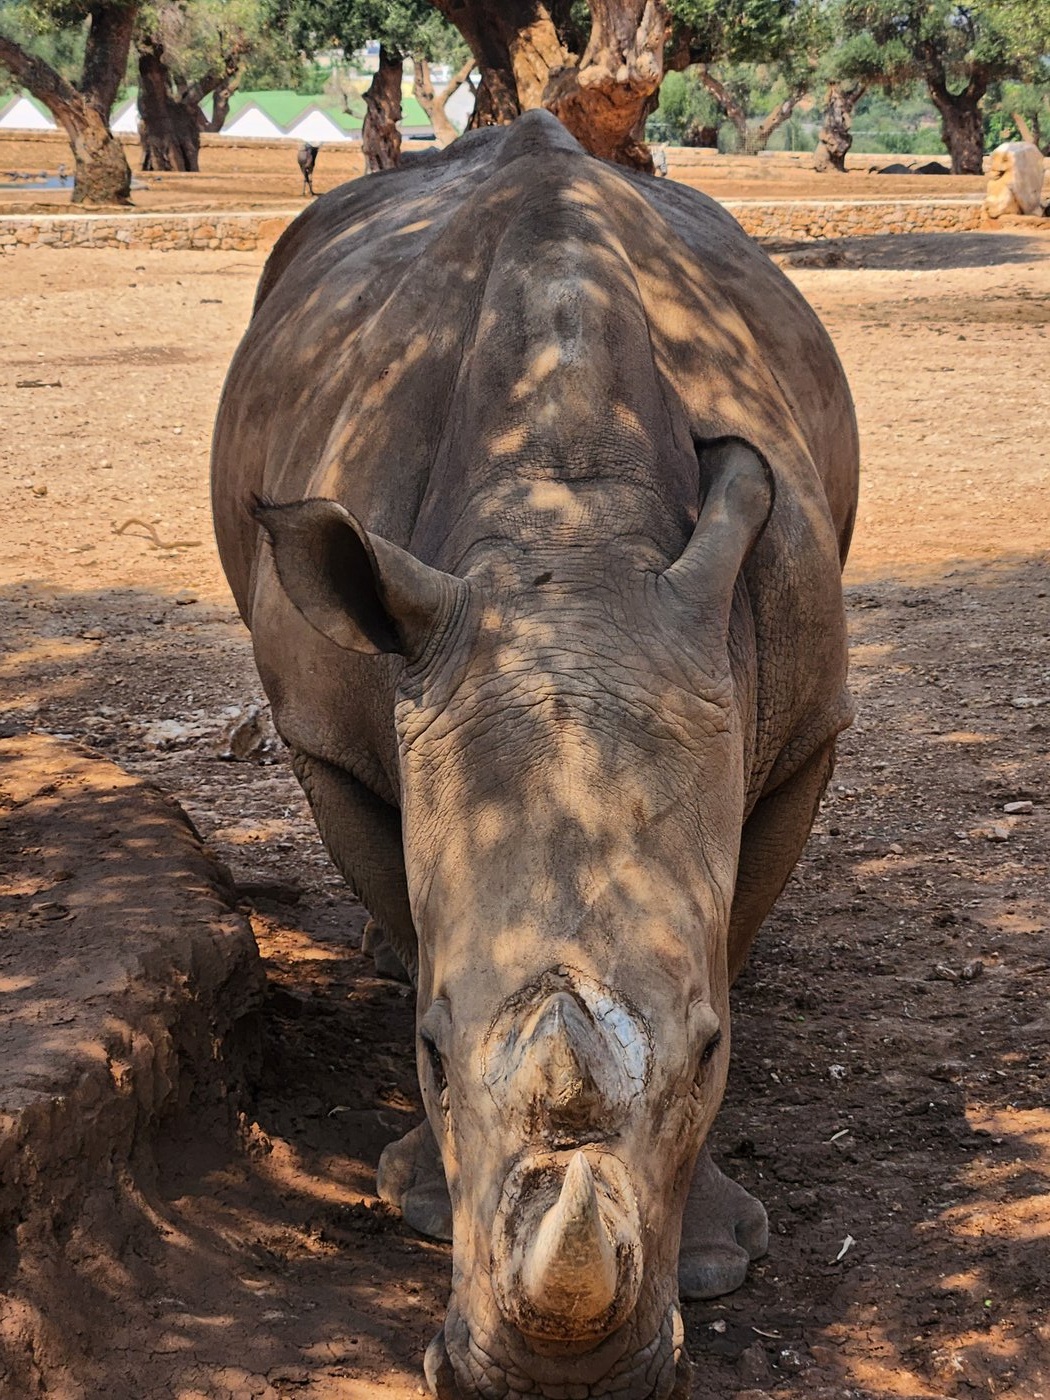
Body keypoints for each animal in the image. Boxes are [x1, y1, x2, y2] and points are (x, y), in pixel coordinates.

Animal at [212, 110, 858, 1400]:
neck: (571, 531)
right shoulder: (330, 730)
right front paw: (416, 1197)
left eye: (711, 1053)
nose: (562, 1386)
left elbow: (733, 927)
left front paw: (715, 1259)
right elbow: (405, 900)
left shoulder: (805, 719)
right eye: (430, 1052)